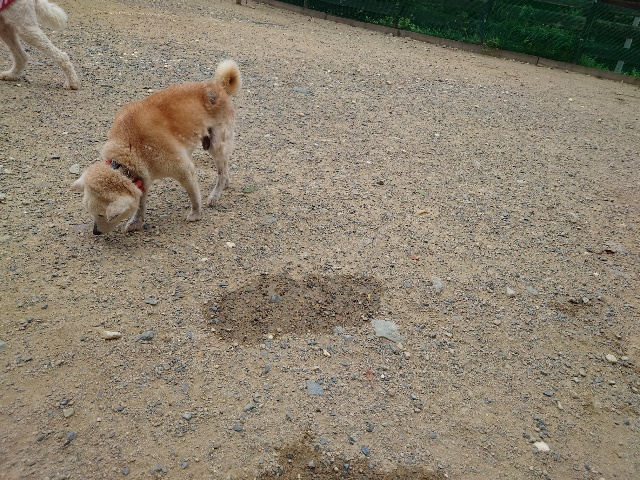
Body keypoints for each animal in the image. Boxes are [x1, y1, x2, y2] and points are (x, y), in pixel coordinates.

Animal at [71, 59, 242, 235]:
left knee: (221, 171)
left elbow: (193, 195)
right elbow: (140, 204)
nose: (95, 232)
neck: (130, 150)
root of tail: (219, 86)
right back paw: (226, 183)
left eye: (104, 215)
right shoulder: (141, 178)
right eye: (90, 212)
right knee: (224, 167)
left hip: (216, 144)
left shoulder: (183, 170)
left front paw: (195, 213)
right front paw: (136, 222)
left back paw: (215, 194)